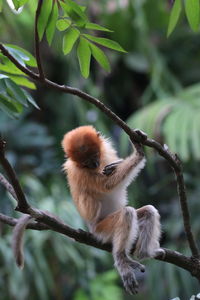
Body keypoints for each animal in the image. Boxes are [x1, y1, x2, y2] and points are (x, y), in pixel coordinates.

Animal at [61, 125, 164, 294]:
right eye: (86, 163)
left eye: (95, 155)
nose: (95, 164)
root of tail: (92, 229)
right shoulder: (80, 173)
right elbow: (107, 185)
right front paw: (139, 152)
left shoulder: (106, 148)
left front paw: (118, 162)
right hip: (102, 230)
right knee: (127, 213)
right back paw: (122, 259)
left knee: (148, 211)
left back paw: (143, 253)